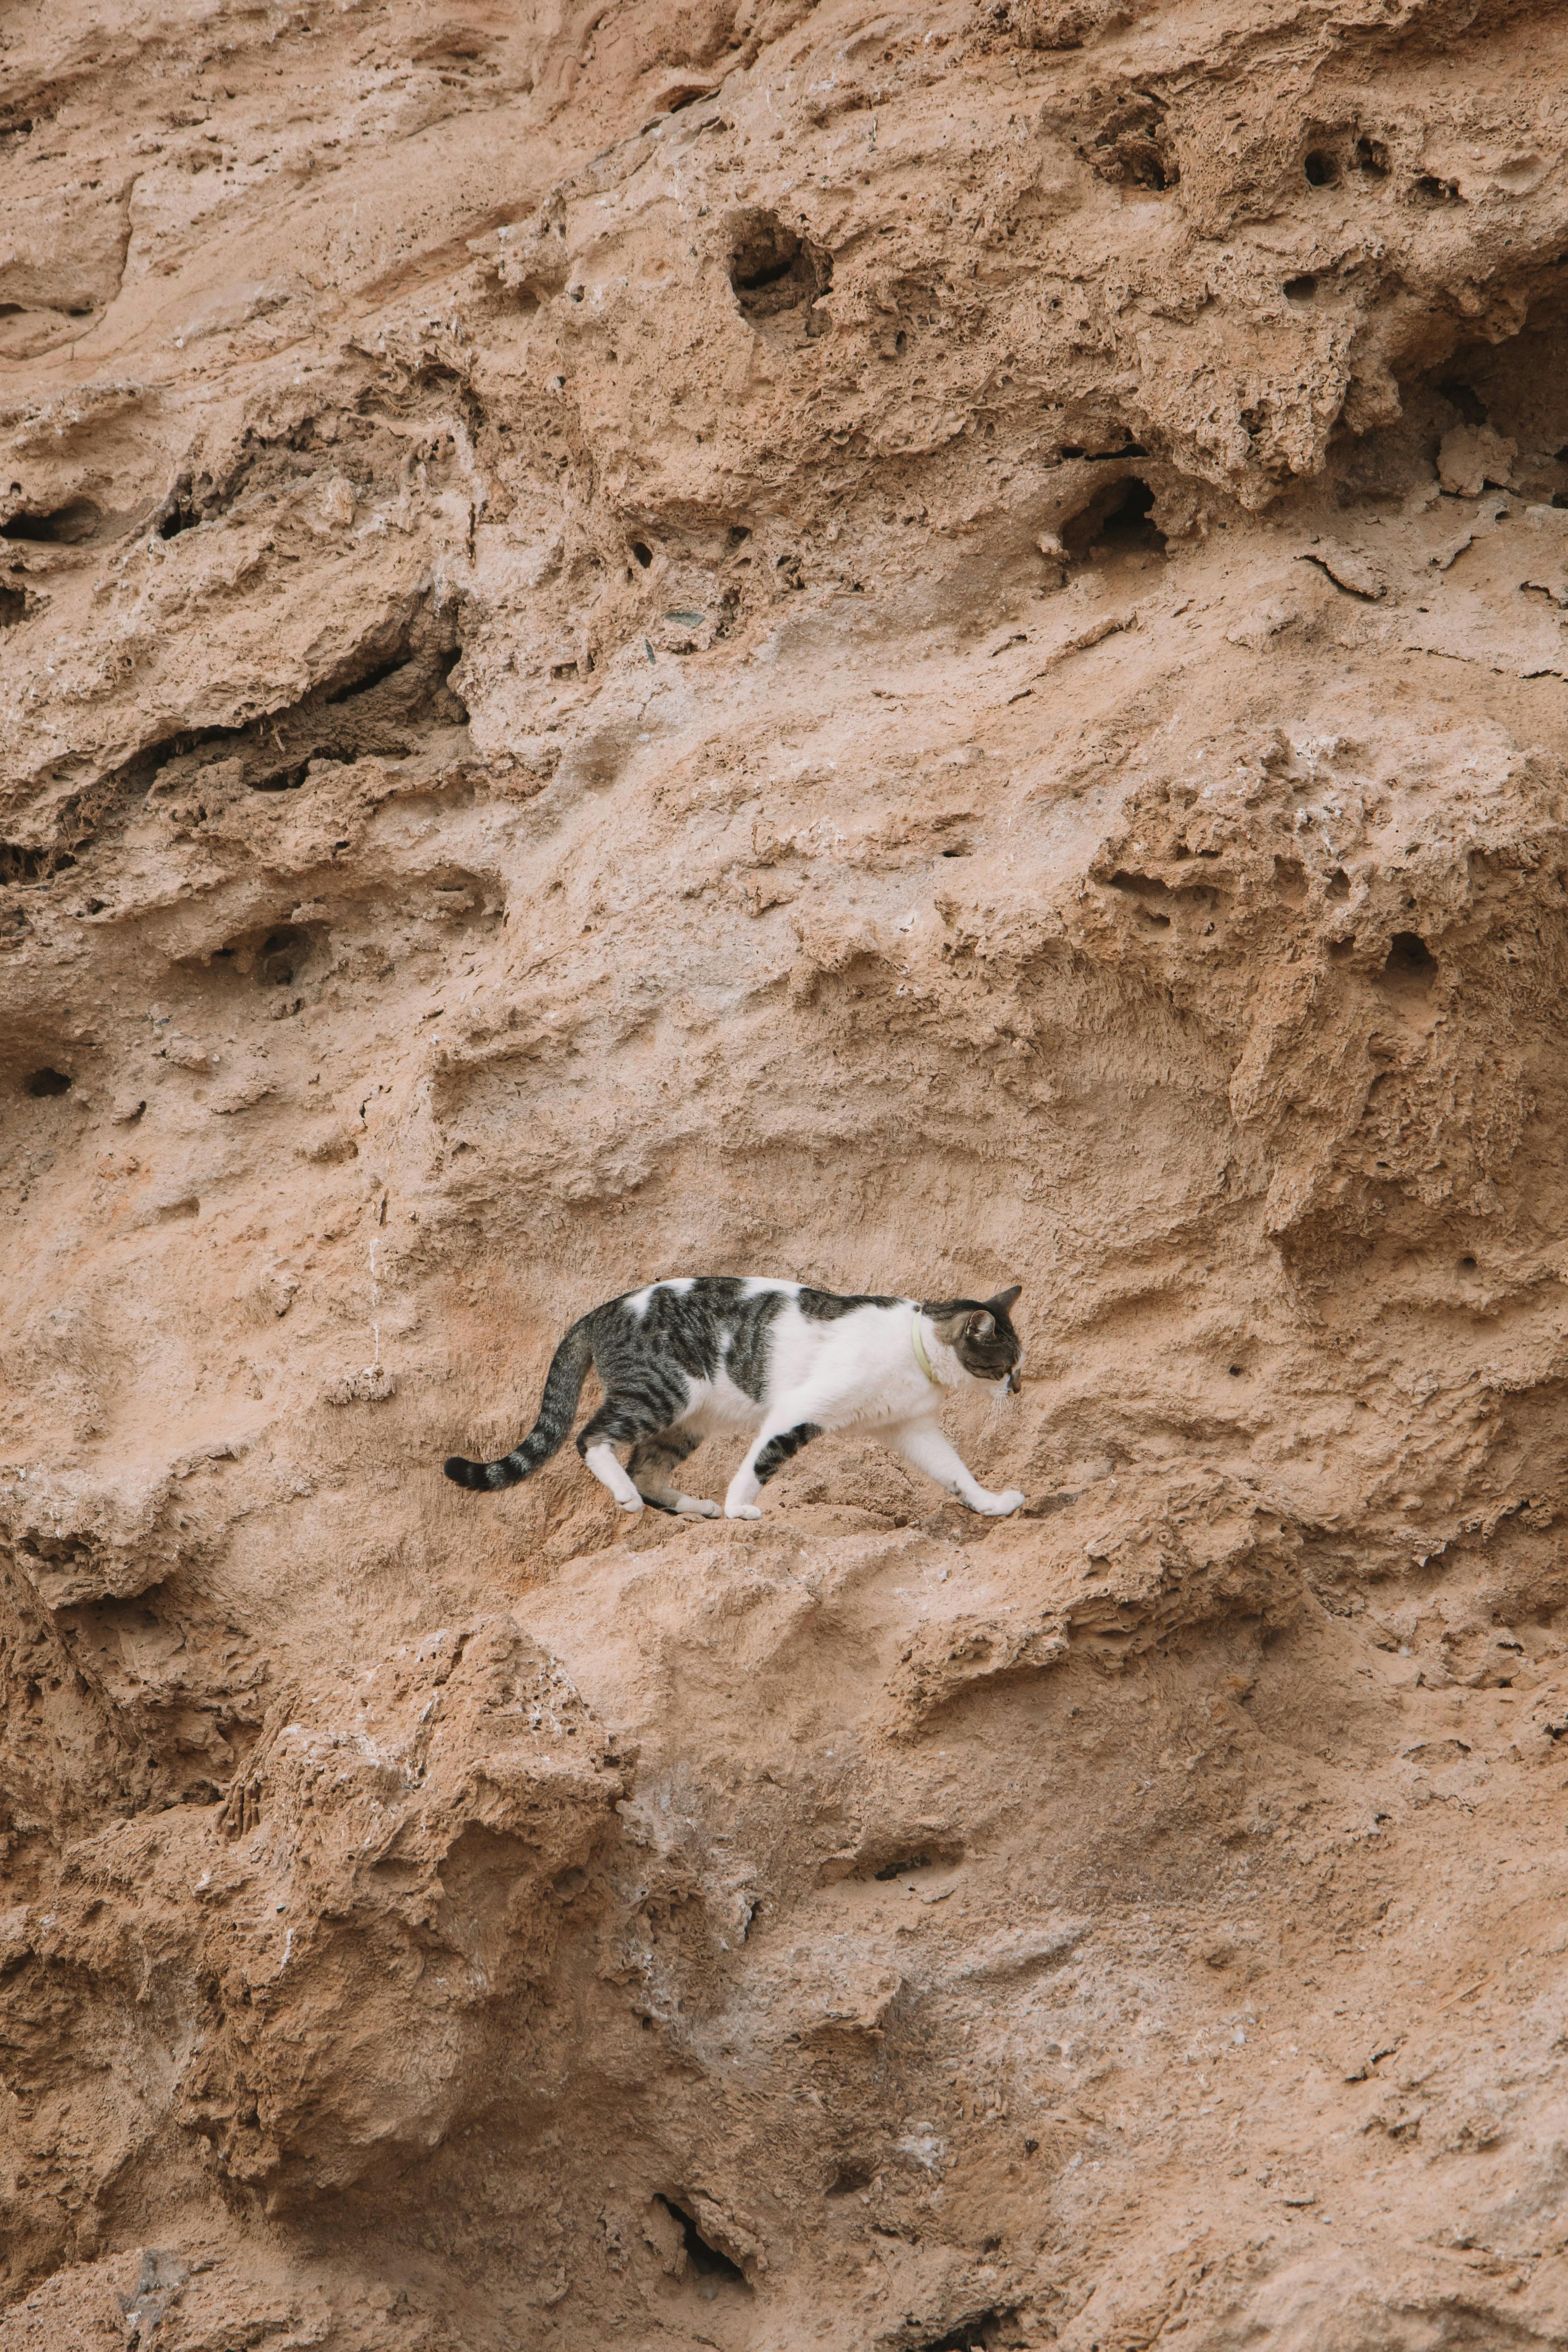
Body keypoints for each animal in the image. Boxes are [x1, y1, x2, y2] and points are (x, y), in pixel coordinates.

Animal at [442, 1279, 1029, 1515]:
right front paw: (738, 1509)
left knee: (647, 1468)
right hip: (663, 1392)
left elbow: (955, 1471)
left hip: (689, 1420)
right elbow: (760, 1461)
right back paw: (629, 1496)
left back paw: (692, 1506)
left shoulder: (911, 1428)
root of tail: (597, 1313)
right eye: (1008, 1365)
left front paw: (991, 1503)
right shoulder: (800, 1409)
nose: (1020, 1388)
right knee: (592, 1439)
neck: (915, 1345)